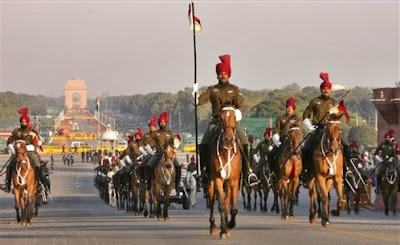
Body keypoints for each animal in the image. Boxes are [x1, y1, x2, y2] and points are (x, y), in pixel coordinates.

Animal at [208, 103, 242, 239]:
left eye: (234, 116)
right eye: (221, 118)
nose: (228, 138)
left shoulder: (234, 179)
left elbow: (233, 207)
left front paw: (230, 224)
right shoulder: (217, 179)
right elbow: (221, 205)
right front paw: (222, 229)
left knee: (228, 200)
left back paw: (228, 227)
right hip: (211, 182)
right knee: (212, 201)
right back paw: (213, 227)